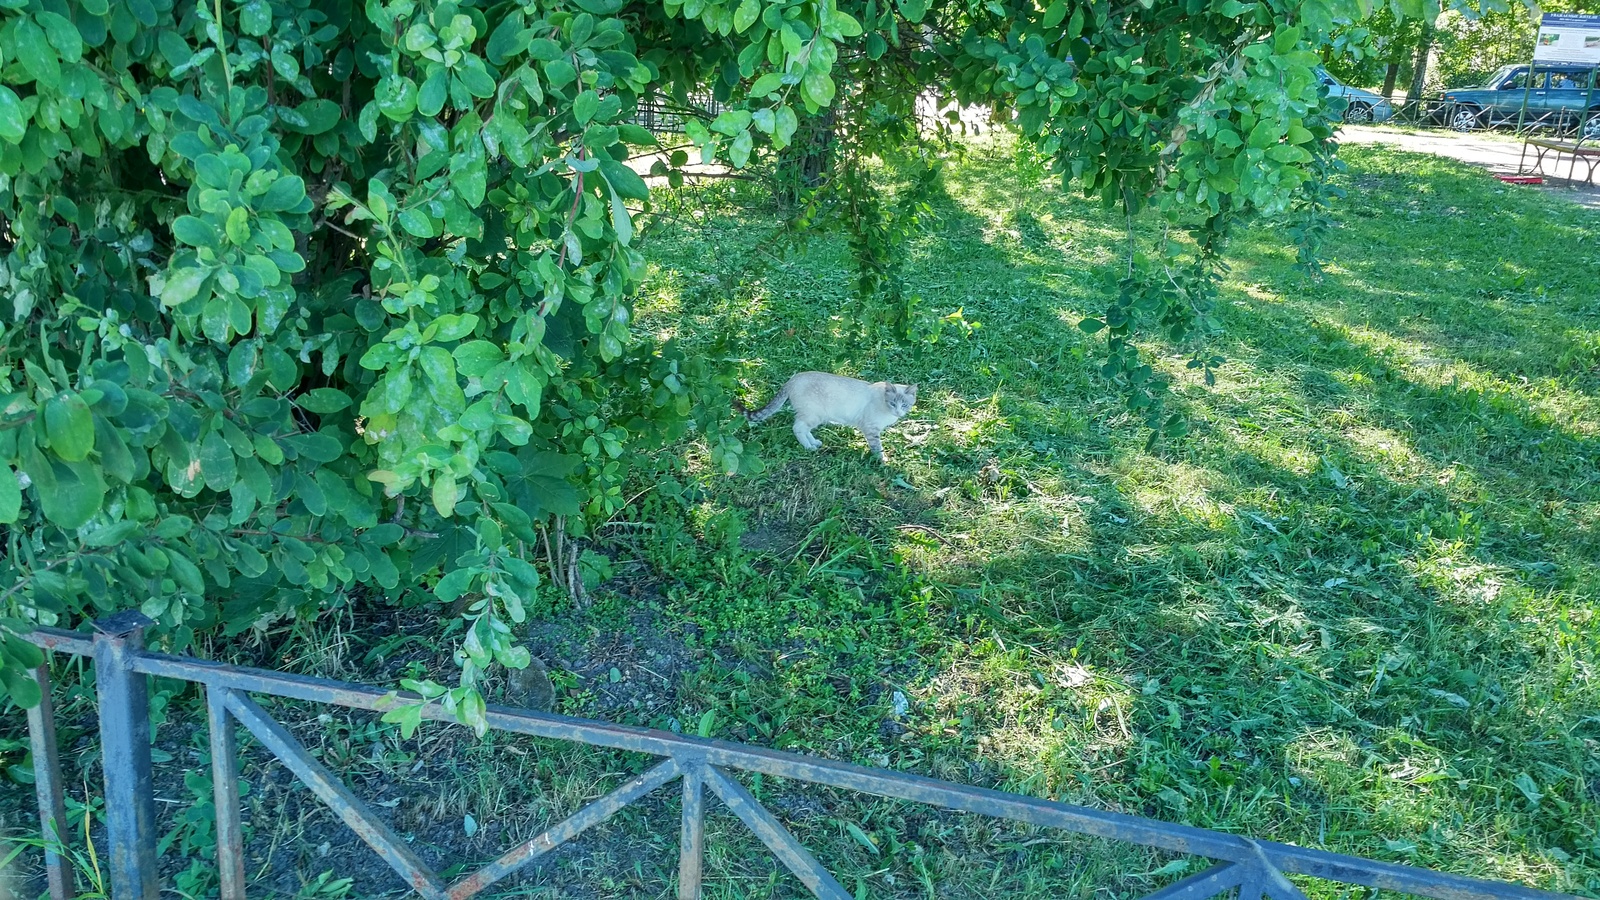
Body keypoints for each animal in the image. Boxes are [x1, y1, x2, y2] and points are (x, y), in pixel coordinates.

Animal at [745, 368, 921, 458]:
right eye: (893, 403)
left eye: (904, 405)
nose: (898, 412)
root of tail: (792, 379)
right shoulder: (871, 428)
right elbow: (877, 447)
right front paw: (882, 462)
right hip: (813, 415)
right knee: (798, 428)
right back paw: (809, 447)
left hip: (815, 416)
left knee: (803, 428)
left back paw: (815, 443)